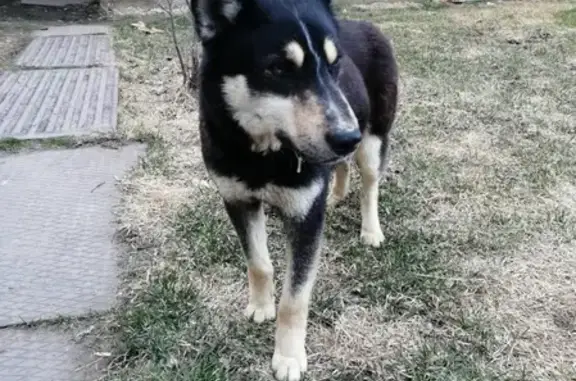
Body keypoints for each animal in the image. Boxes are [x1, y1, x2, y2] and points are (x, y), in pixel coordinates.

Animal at [189, 0, 396, 378]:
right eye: (278, 69)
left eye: (334, 64)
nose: (348, 137)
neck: (263, 153)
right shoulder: (238, 201)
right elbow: (258, 263)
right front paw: (261, 305)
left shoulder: (305, 219)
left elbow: (295, 299)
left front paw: (288, 356)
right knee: (341, 166)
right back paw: (336, 193)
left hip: (374, 139)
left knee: (370, 183)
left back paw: (371, 228)